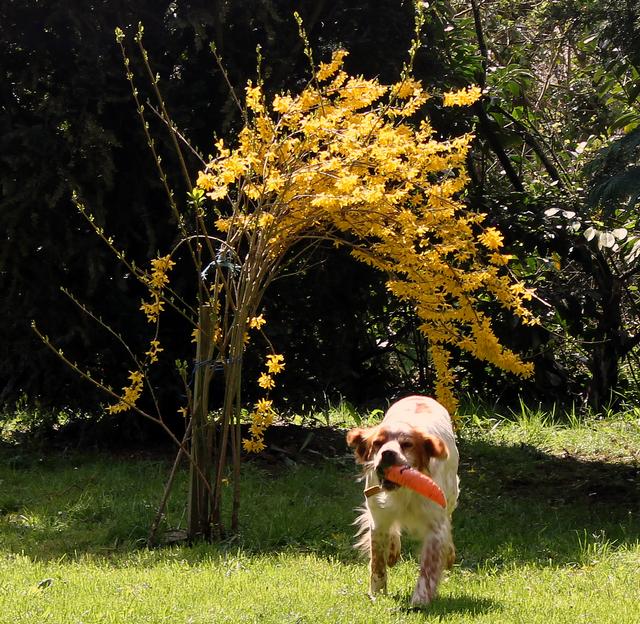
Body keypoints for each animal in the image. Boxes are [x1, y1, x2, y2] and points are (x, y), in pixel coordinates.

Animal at [344, 394, 460, 604]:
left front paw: (419, 600)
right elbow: (377, 562)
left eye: (407, 444)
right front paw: (377, 593)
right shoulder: (378, 519)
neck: (404, 490)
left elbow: (428, 569)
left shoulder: (435, 527)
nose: (387, 454)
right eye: (377, 443)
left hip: (451, 496)